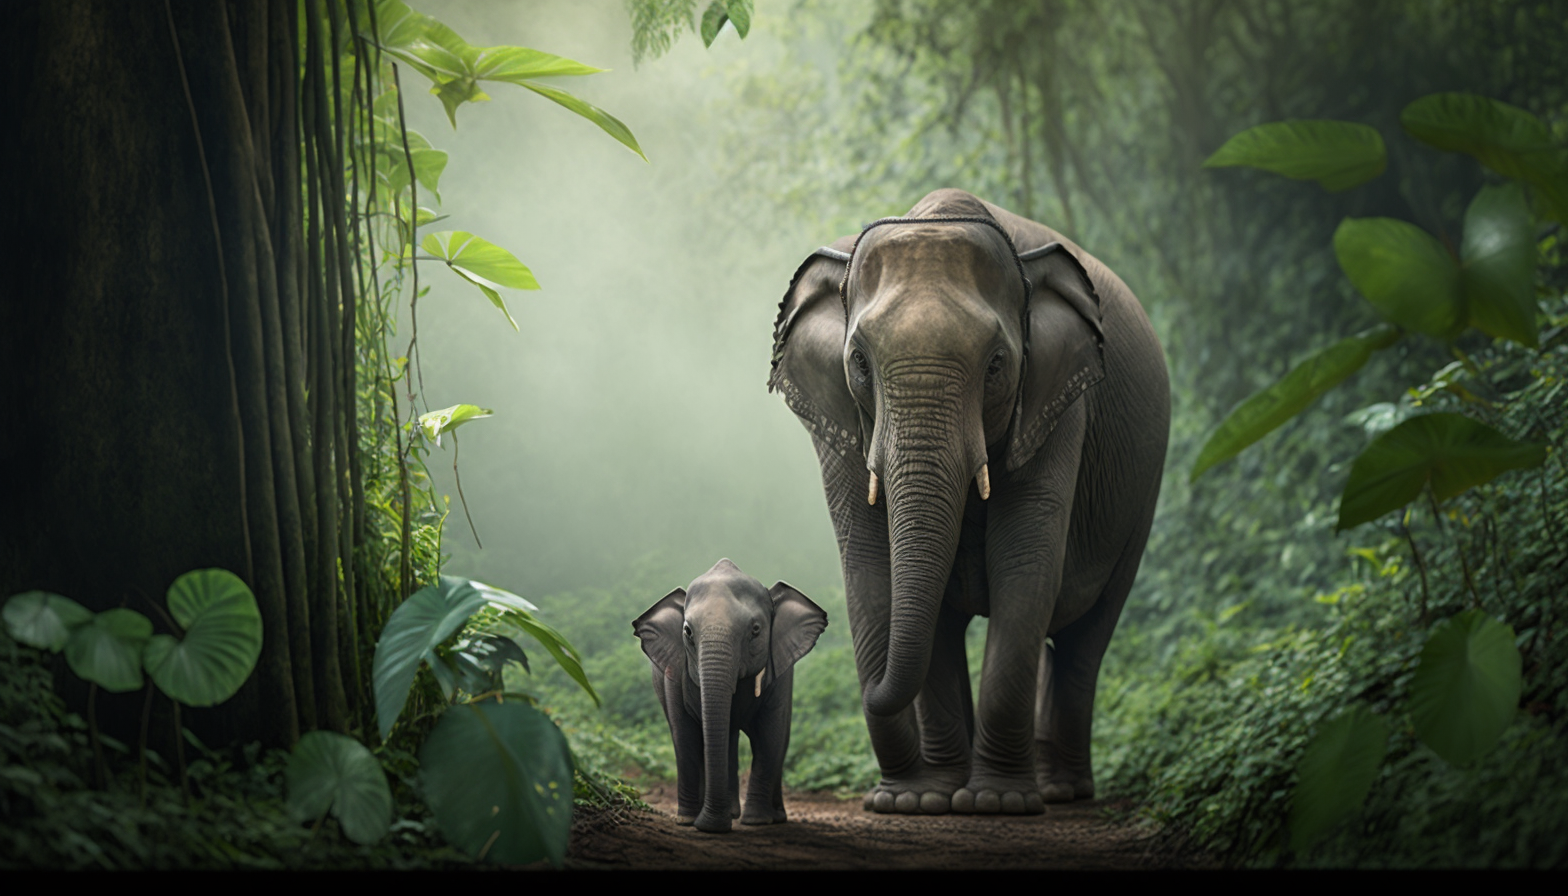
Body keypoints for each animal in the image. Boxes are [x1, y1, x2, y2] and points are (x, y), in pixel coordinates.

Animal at [630, 561, 827, 834]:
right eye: (687, 631)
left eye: (756, 630)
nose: (710, 825)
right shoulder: (674, 675)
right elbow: (685, 737)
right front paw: (689, 821)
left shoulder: (782, 674)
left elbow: (770, 734)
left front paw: (756, 822)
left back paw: (769, 816)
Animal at [765, 187, 1172, 815]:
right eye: (859, 362)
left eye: (997, 364)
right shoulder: (836, 420)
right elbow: (872, 569)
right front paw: (916, 803)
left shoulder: (1059, 403)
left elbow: (1023, 566)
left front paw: (996, 803)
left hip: (1142, 498)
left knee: (1085, 635)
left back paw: (1060, 792)